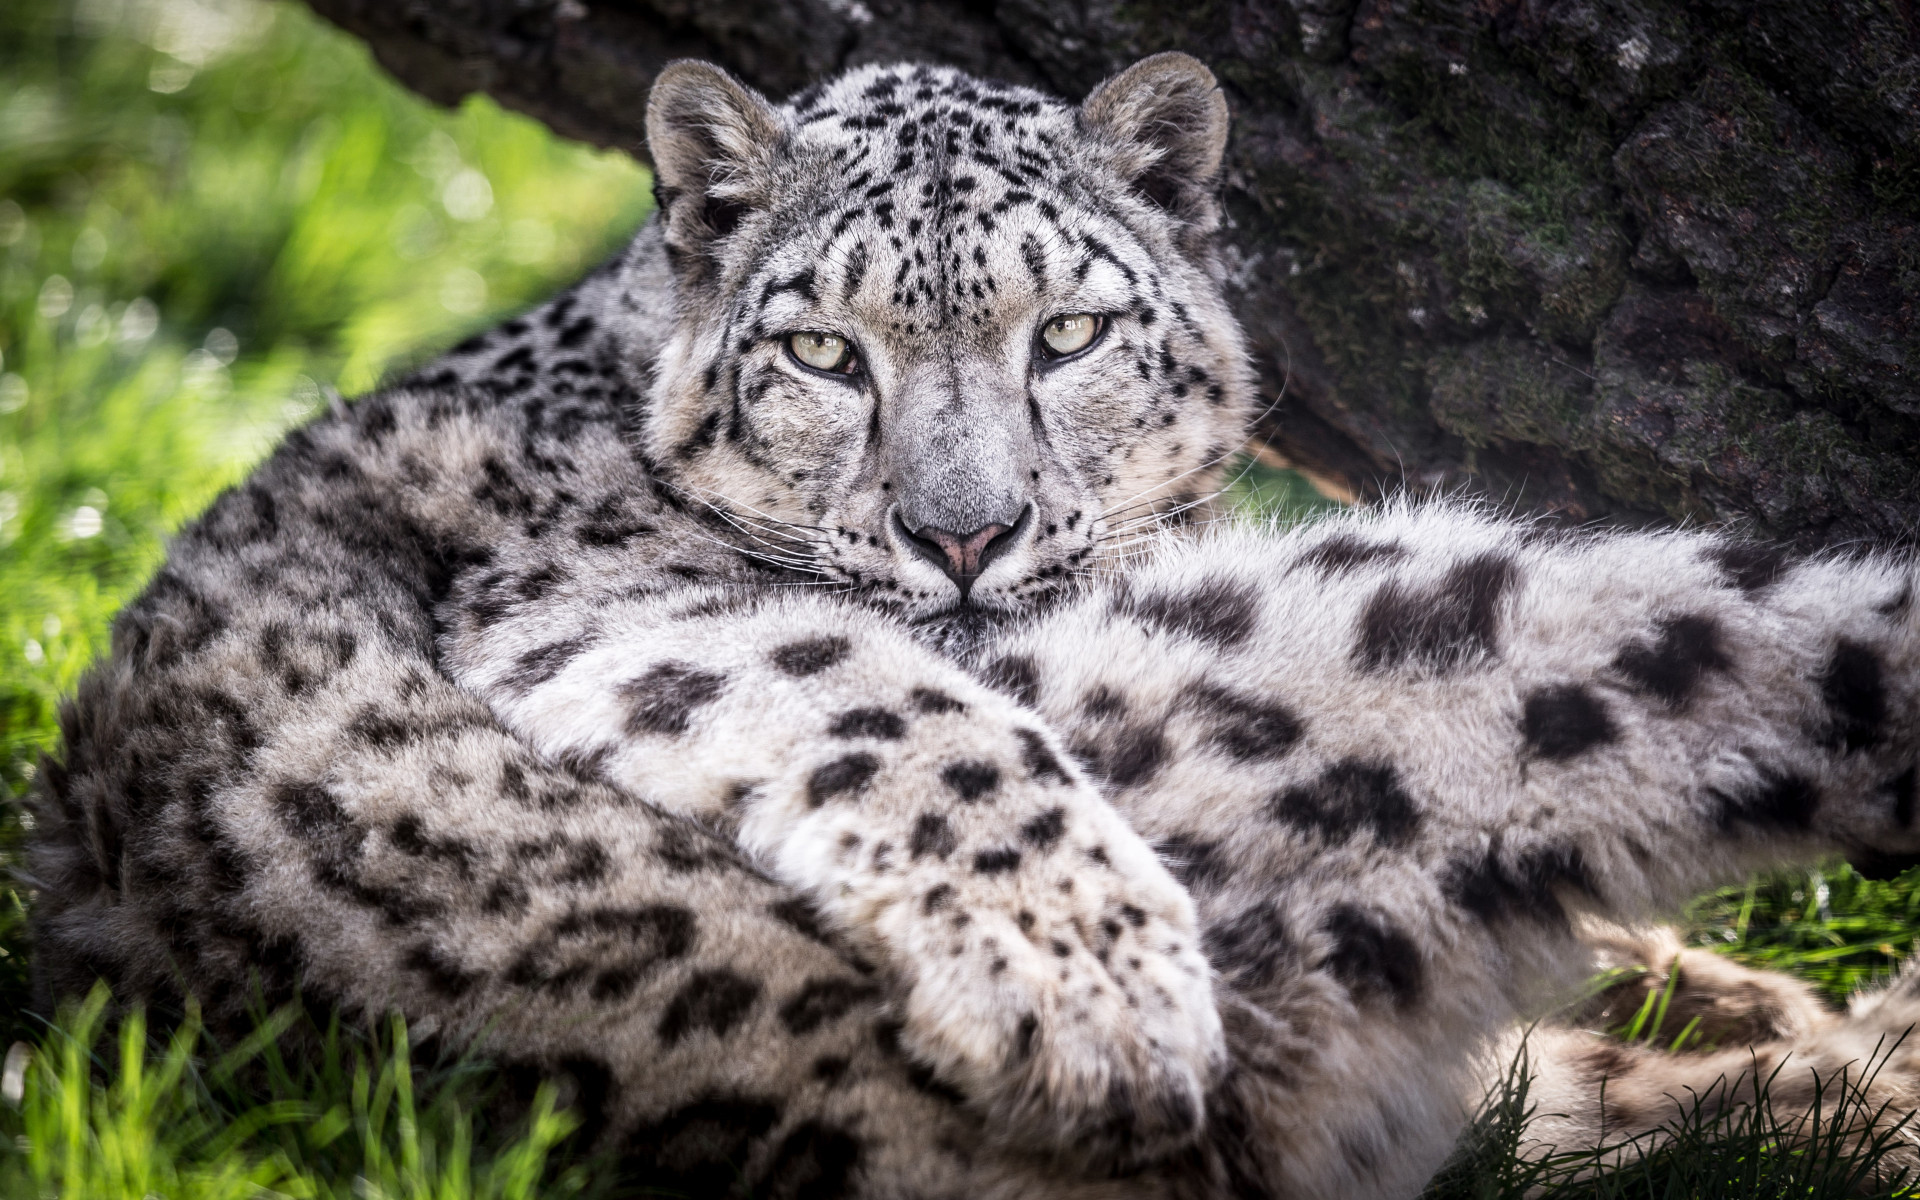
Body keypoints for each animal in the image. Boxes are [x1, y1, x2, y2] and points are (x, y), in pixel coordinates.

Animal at [26, 51, 1920, 1190]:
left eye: (1067, 332)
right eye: (821, 350)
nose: (963, 536)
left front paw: (1745, 1004)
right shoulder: (607, 597)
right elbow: (897, 710)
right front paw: (1097, 1002)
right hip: (1419, 631)